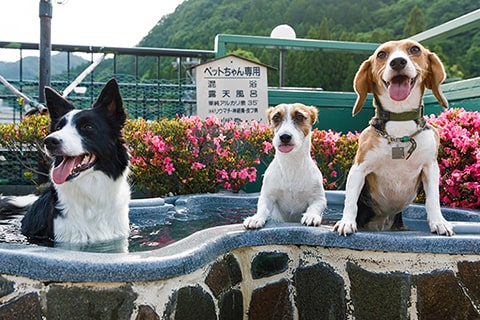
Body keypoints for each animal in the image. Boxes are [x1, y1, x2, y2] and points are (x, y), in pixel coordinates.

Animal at [334, 38, 454, 236]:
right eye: (381, 54)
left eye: (415, 49)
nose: (398, 62)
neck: (400, 120)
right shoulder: (359, 168)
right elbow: (350, 200)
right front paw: (346, 222)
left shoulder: (430, 168)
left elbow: (433, 200)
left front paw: (439, 222)